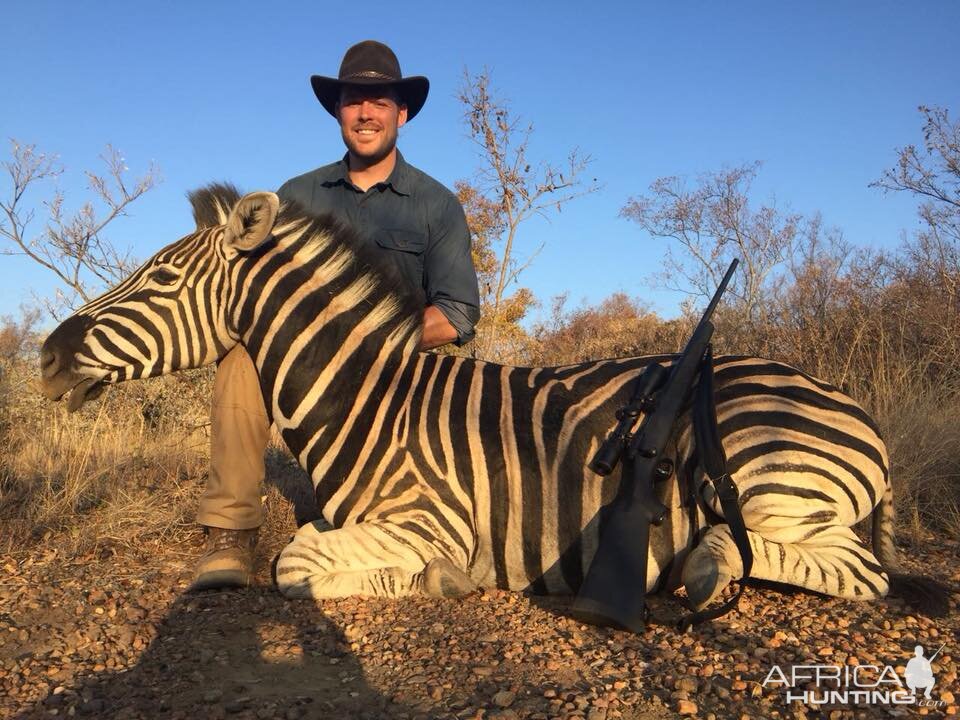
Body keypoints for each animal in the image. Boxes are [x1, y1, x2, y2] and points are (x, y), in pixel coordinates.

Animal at [39, 183, 944, 616]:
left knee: (853, 570)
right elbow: (302, 549)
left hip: (770, 482)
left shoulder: (428, 518)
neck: (368, 402)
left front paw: (440, 581)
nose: (46, 356)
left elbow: (295, 566)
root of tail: (852, 408)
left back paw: (707, 562)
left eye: (160, 278)